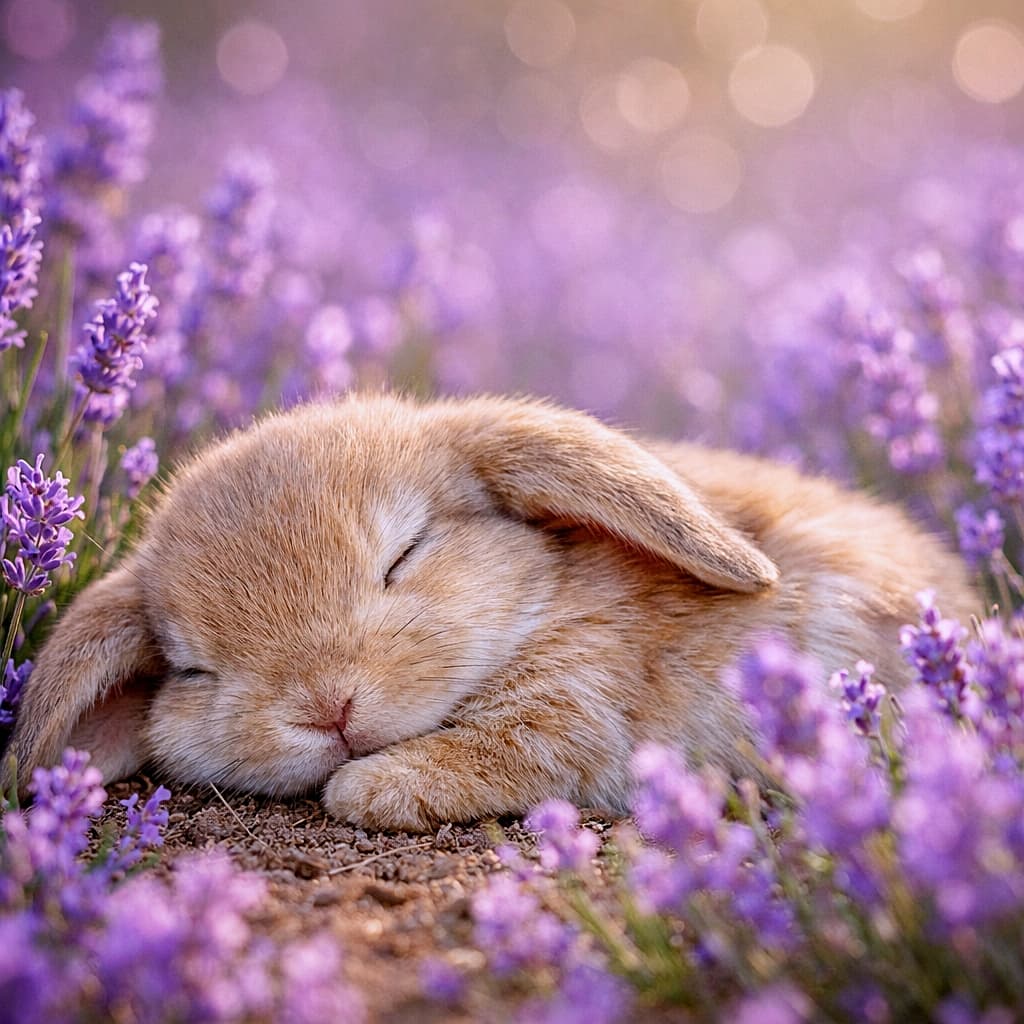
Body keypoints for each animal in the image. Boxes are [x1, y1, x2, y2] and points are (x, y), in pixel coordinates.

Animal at [3, 393, 978, 831]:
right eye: (196, 670)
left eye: (404, 554)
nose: (327, 708)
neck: (547, 601)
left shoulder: (570, 710)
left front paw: (364, 787)